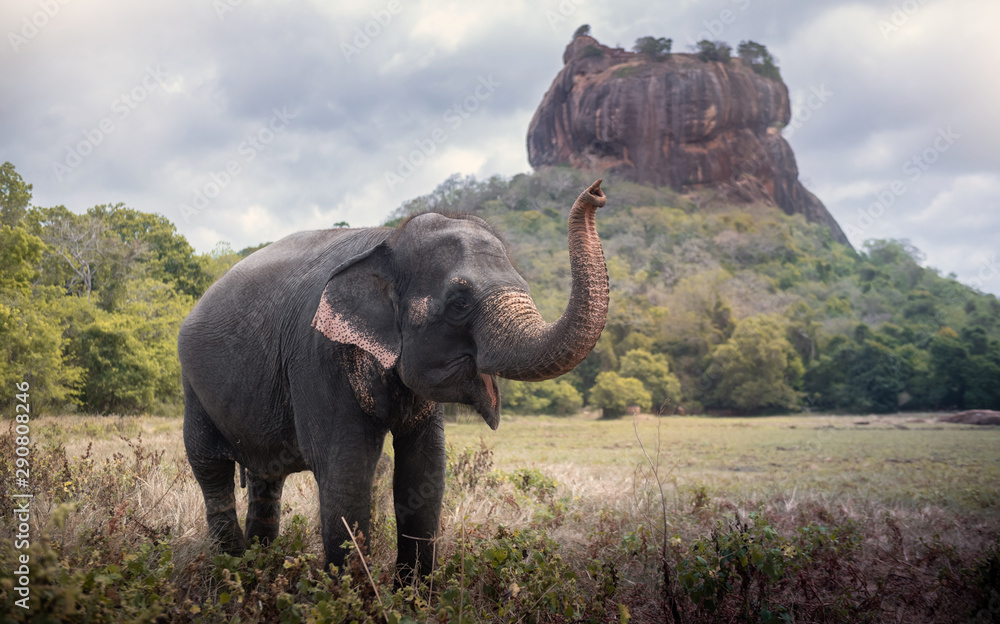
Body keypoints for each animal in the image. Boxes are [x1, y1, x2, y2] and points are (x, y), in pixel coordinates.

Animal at [179, 178, 608, 576]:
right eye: (459, 303)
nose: (597, 191)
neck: (387, 241)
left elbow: (424, 470)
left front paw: (413, 593)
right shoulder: (317, 356)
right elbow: (345, 472)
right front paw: (351, 593)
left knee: (266, 479)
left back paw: (257, 568)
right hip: (192, 386)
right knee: (210, 468)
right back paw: (231, 568)